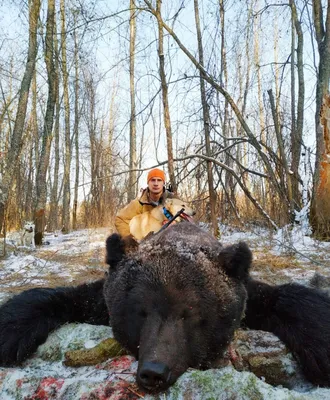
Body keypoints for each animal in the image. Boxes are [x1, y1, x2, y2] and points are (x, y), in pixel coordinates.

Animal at [0, 223, 328, 392]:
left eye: (192, 314)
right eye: (140, 311)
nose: (154, 372)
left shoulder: (246, 292)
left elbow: (286, 298)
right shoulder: (100, 299)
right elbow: (60, 296)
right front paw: (9, 331)